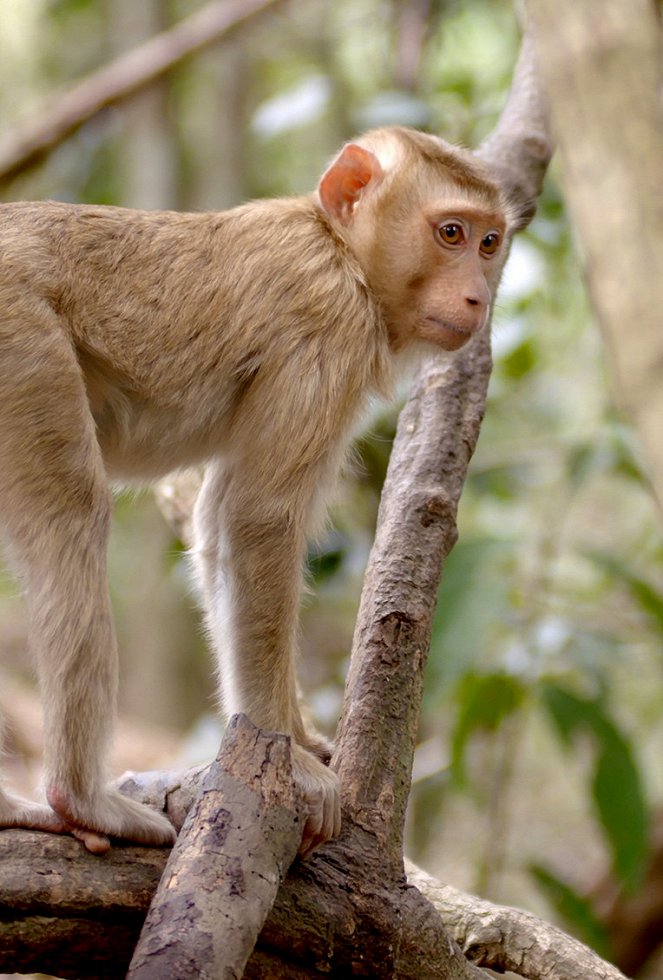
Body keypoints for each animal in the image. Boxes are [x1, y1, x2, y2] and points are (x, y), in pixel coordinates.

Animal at [0, 124, 512, 856]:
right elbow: (258, 519)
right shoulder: (328, 326)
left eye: (488, 242)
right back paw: (80, 798)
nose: (477, 296)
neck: (341, 251)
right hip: (21, 341)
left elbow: (219, 526)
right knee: (72, 512)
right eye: (450, 233)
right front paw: (291, 761)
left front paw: (289, 738)